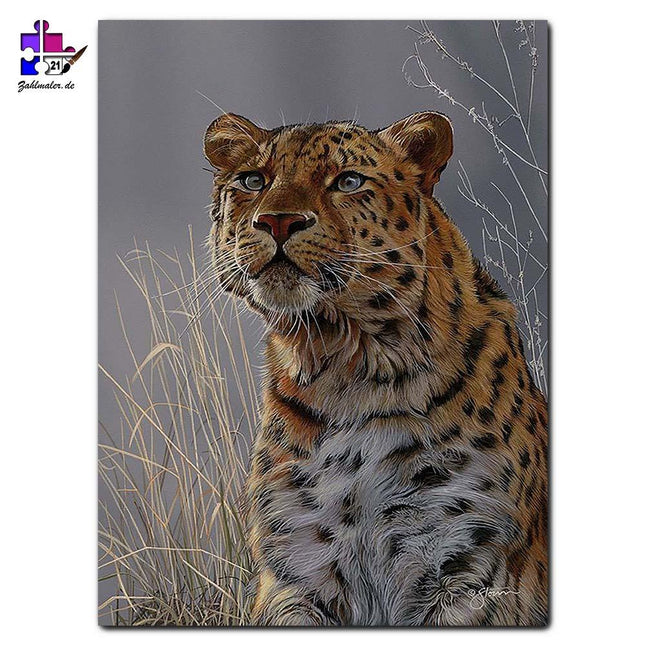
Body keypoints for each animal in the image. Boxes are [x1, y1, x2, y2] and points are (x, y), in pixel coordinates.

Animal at [203, 111, 548, 627]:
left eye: (348, 181)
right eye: (253, 180)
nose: (278, 221)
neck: (346, 370)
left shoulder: (471, 564)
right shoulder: (296, 568)